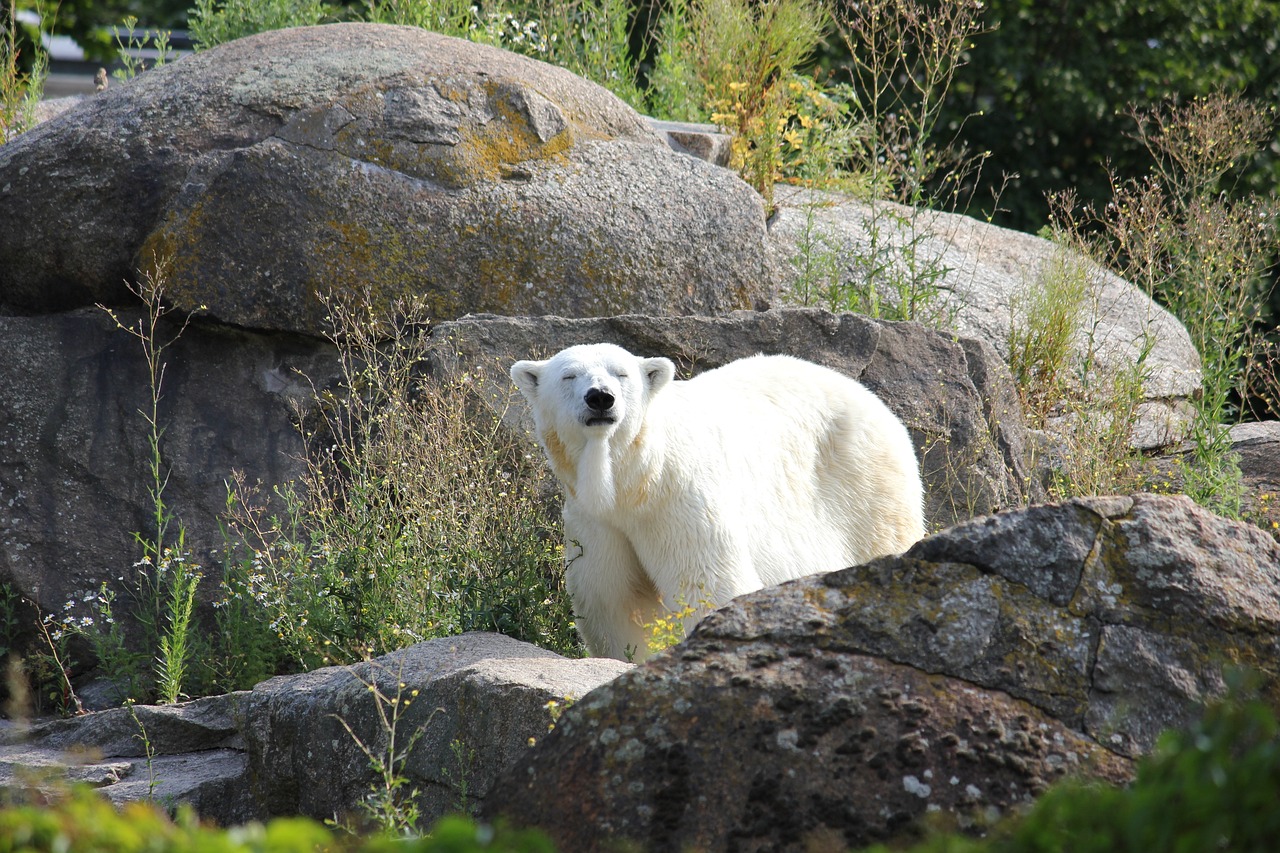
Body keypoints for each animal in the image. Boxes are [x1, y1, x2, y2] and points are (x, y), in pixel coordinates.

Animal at [506, 343, 921, 660]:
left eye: (620, 374)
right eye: (569, 376)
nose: (600, 398)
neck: (633, 481)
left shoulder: (678, 496)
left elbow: (706, 582)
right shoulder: (595, 519)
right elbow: (614, 599)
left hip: (866, 488)